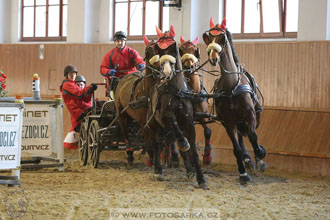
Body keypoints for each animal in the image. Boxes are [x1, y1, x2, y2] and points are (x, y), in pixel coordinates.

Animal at [179, 35, 213, 165]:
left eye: (195, 50)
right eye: (181, 49)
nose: (188, 66)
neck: (193, 91)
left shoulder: (203, 115)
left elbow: (207, 131)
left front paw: (207, 156)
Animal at [202, 17, 266, 183]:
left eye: (221, 37)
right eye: (209, 37)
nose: (213, 58)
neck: (232, 87)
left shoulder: (250, 115)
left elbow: (253, 136)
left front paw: (261, 154)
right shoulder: (228, 122)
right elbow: (236, 148)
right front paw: (243, 173)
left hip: (255, 117)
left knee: (251, 134)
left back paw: (258, 160)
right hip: (236, 123)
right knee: (241, 140)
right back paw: (247, 159)